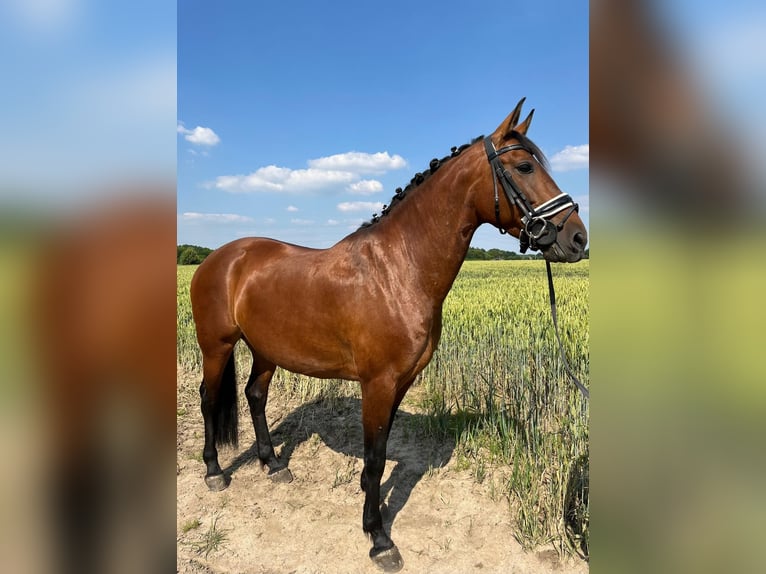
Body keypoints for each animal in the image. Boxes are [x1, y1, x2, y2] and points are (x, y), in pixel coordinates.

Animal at [190, 101, 588, 572]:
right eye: (525, 166)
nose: (578, 238)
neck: (399, 270)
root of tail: (218, 257)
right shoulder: (377, 384)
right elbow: (376, 458)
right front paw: (379, 539)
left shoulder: (401, 382)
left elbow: (377, 456)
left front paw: (370, 510)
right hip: (216, 347)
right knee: (209, 399)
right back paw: (214, 472)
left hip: (265, 349)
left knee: (254, 395)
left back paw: (273, 465)